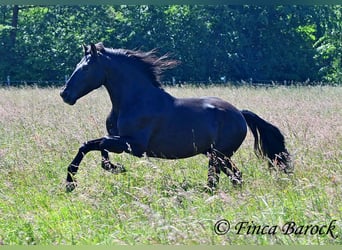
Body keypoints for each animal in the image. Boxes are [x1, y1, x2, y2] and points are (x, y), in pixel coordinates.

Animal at [60, 42, 292, 191]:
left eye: (86, 67)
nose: (65, 94)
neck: (134, 100)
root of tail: (240, 114)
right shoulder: (121, 141)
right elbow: (93, 145)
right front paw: (79, 179)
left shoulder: (135, 146)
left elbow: (98, 144)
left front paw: (108, 170)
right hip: (216, 155)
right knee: (235, 177)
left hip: (219, 156)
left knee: (217, 180)